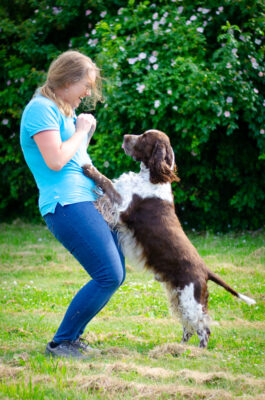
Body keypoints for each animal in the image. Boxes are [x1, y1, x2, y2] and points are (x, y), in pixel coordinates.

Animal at [82, 129, 254, 346]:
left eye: (144, 137)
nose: (125, 136)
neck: (152, 177)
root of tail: (206, 270)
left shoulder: (122, 204)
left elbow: (105, 182)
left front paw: (89, 168)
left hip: (190, 300)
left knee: (203, 328)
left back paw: (197, 351)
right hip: (178, 297)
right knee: (188, 328)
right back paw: (178, 348)